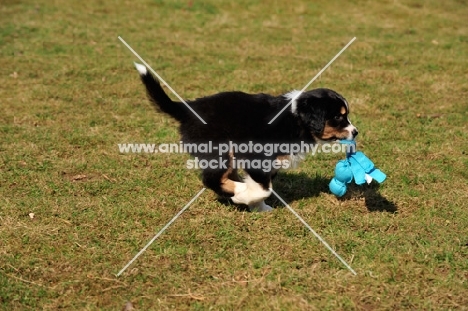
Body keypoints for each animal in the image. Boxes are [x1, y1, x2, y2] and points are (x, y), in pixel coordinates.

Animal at [134, 64, 358, 213]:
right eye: (338, 117)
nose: (356, 132)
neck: (296, 119)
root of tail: (188, 109)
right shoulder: (256, 156)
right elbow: (264, 188)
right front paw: (245, 197)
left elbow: (263, 183)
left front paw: (259, 208)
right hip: (219, 149)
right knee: (211, 179)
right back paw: (238, 189)